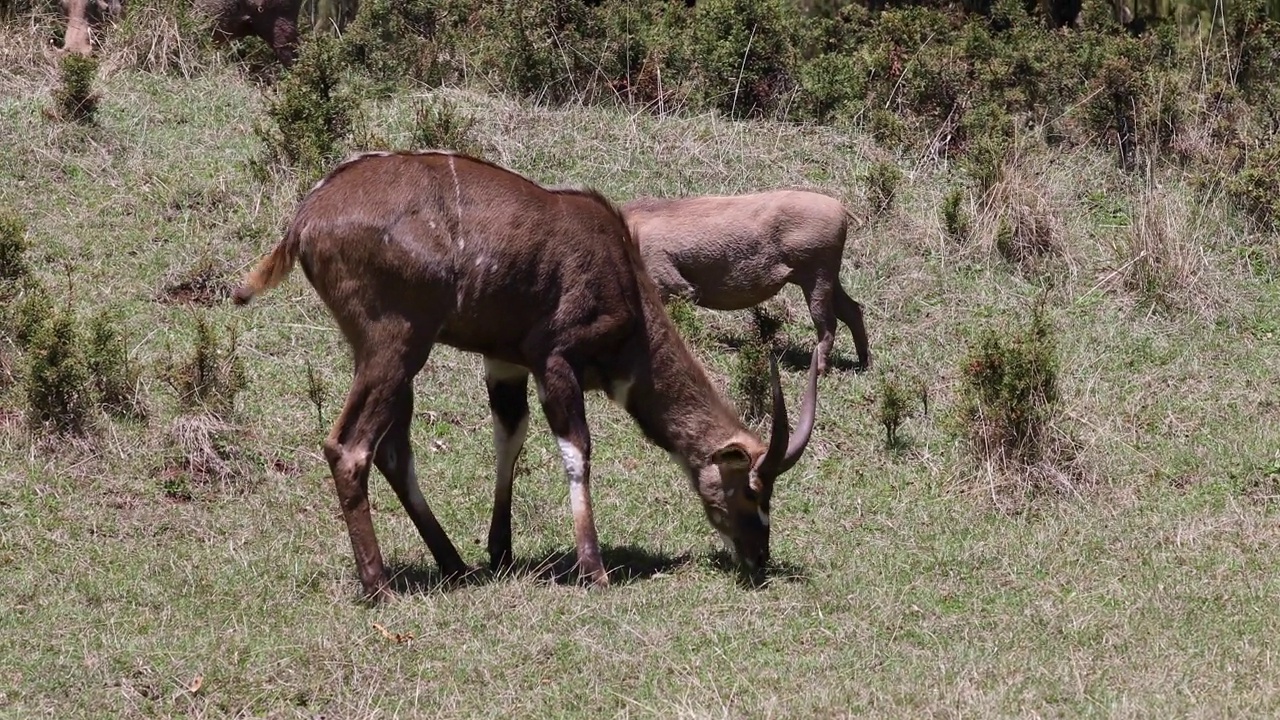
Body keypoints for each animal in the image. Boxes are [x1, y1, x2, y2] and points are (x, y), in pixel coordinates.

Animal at [231, 151, 814, 599]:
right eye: (752, 492)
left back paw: (454, 564)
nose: (759, 557)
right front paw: (594, 570)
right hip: (395, 345)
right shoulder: (555, 359)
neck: (625, 279)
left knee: (393, 449)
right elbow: (576, 449)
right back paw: (378, 587)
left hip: (389, 356)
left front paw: (501, 552)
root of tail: (307, 219)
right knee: (351, 446)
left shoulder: (505, 361)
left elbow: (509, 436)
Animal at [622, 185, 880, 376]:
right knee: (853, 310)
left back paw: (819, 371)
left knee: (828, 323)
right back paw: (864, 365)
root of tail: (840, 208)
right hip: (828, 277)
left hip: (818, 275)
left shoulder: (667, 280)